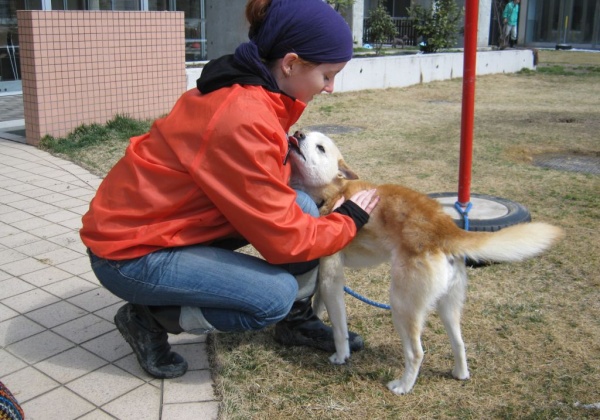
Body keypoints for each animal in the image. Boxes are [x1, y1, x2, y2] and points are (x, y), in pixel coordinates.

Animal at [288, 133, 564, 396]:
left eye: (321, 147)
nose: (298, 133)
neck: (333, 191)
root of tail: (444, 228)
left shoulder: (331, 279)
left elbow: (339, 327)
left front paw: (341, 355)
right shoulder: (325, 280)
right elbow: (319, 306)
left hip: (401, 305)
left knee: (416, 353)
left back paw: (403, 386)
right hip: (448, 305)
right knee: (459, 343)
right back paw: (460, 373)